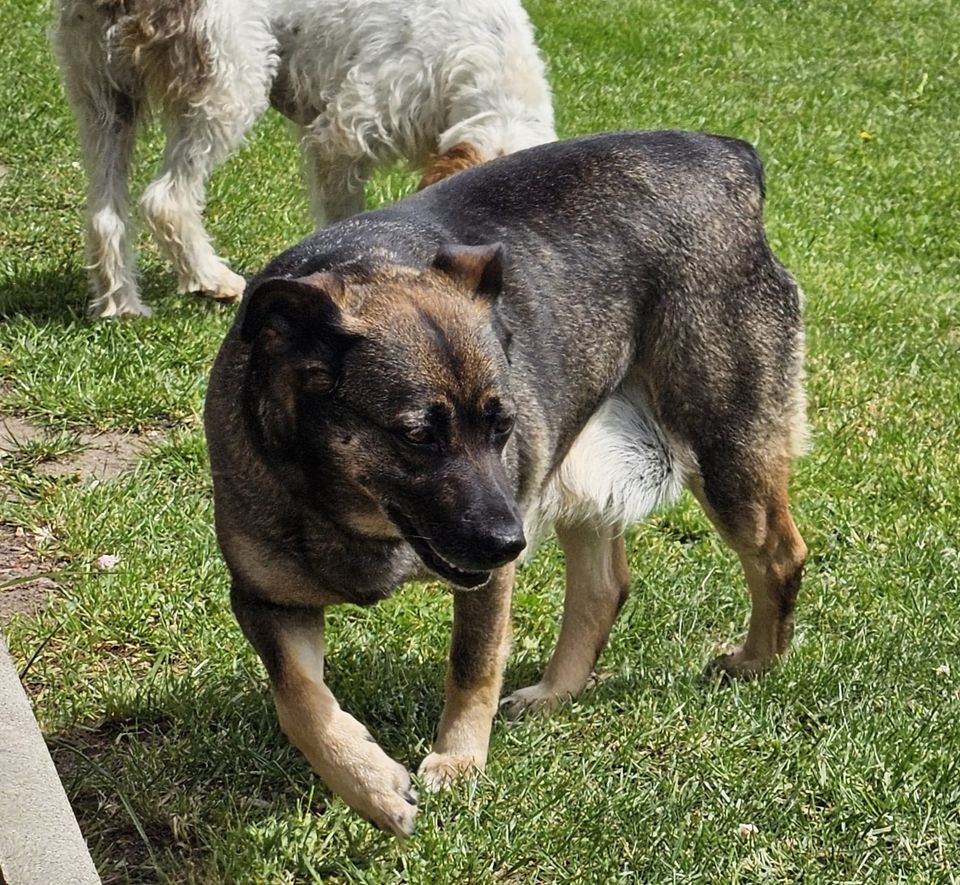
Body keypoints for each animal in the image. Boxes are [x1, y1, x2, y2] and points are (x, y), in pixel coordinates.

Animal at [54, 0, 556, 318]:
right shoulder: (342, 135)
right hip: (226, 90)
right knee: (166, 200)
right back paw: (212, 280)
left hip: (104, 101)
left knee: (105, 216)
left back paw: (122, 307)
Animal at [204, 131, 808, 836]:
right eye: (418, 435)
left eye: (502, 425)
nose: (510, 542)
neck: (341, 509)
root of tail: (729, 155)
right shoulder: (265, 600)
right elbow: (299, 699)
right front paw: (372, 786)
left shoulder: (487, 576)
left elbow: (472, 663)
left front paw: (457, 761)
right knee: (604, 586)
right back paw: (554, 693)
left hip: (723, 448)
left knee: (778, 555)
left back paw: (756, 662)